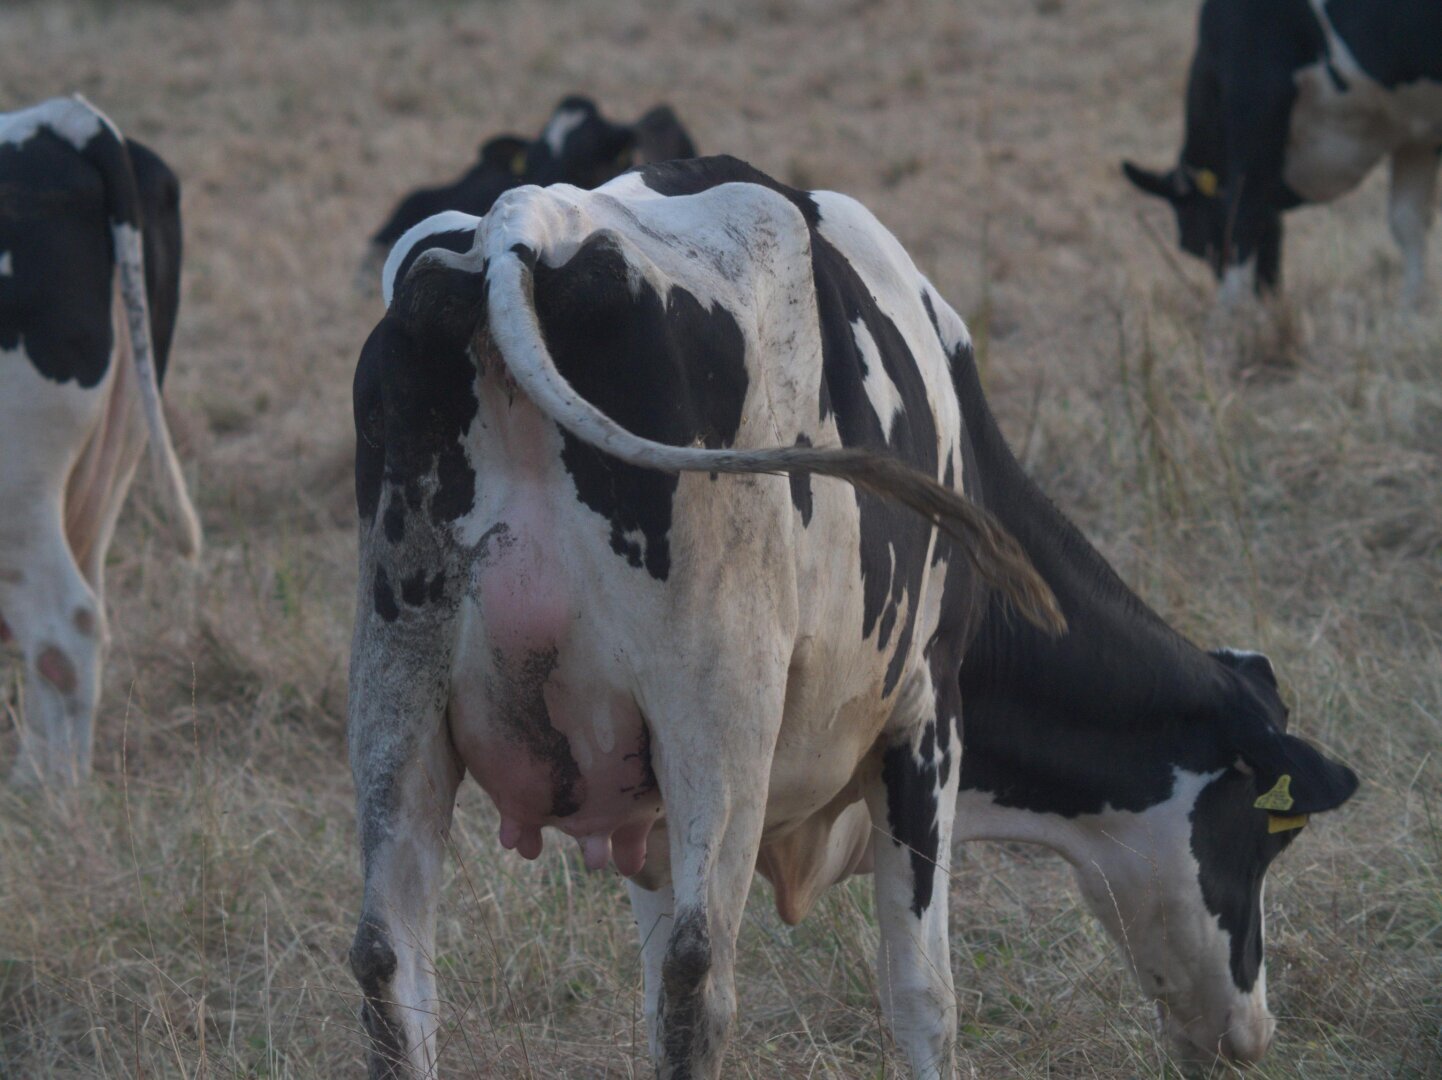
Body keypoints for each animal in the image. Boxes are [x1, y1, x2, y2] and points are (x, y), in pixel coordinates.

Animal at [346, 156, 1355, 1078]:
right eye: (1270, 834)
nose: (1251, 1033)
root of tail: (525, 229)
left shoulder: (645, 802)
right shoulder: (926, 716)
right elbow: (922, 995)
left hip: (398, 691)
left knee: (392, 963)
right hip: (718, 708)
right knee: (698, 973)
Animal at [1123, 0, 1442, 301]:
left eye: (1192, 244)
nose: (1269, 295)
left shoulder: (1258, 105)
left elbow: (1240, 223)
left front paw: (1228, 319)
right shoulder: (1417, 137)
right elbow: (1408, 223)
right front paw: (1408, 314)